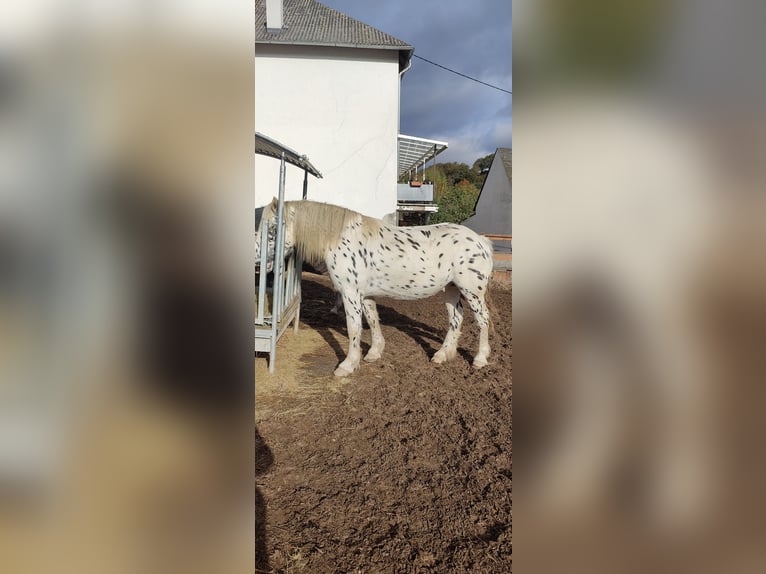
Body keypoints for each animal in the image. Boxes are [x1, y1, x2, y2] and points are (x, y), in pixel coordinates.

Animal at [260, 200, 496, 380]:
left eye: (272, 230)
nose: (260, 263)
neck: (341, 238)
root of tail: (481, 241)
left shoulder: (350, 293)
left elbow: (354, 327)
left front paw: (347, 365)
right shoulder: (365, 295)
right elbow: (373, 320)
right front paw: (374, 353)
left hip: (472, 292)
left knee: (482, 319)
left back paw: (480, 359)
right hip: (451, 289)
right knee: (456, 318)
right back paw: (442, 354)